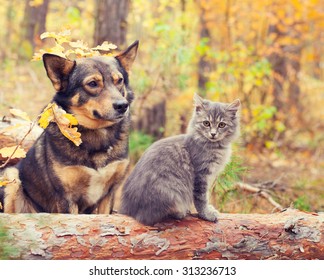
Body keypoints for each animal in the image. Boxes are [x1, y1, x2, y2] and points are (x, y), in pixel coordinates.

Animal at [0, 40, 139, 213]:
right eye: (92, 84)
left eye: (119, 80)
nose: (122, 106)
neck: (96, 134)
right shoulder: (67, 198)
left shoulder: (108, 194)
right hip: (11, 175)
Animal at [120, 94, 239, 225]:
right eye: (206, 123)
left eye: (221, 125)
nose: (213, 134)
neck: (215, 146)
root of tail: (127, 209)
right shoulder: (201, 175)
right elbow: (201, 199)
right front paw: (206, 214)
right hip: (171, 191)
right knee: (149, 217)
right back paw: (180, 212)